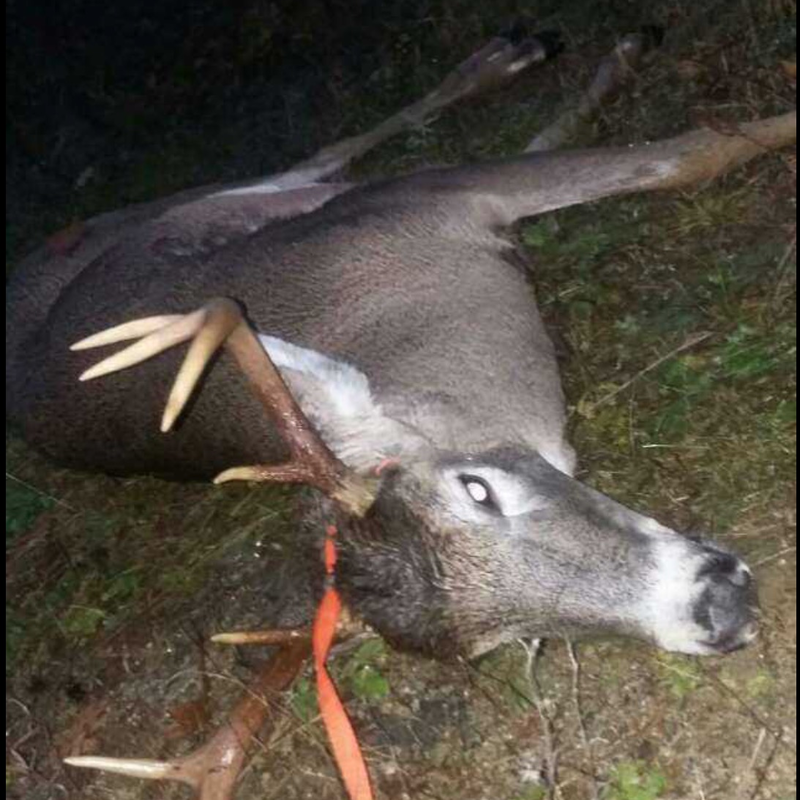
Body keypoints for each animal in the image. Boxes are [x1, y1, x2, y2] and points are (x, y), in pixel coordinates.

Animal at [5, 24, 796, 800]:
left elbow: (686, 153)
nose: (721, 608)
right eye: (516, 642)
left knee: (319, 156)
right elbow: (669, 155)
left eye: (477, 488)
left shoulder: (426, 196)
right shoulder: (436, 201)